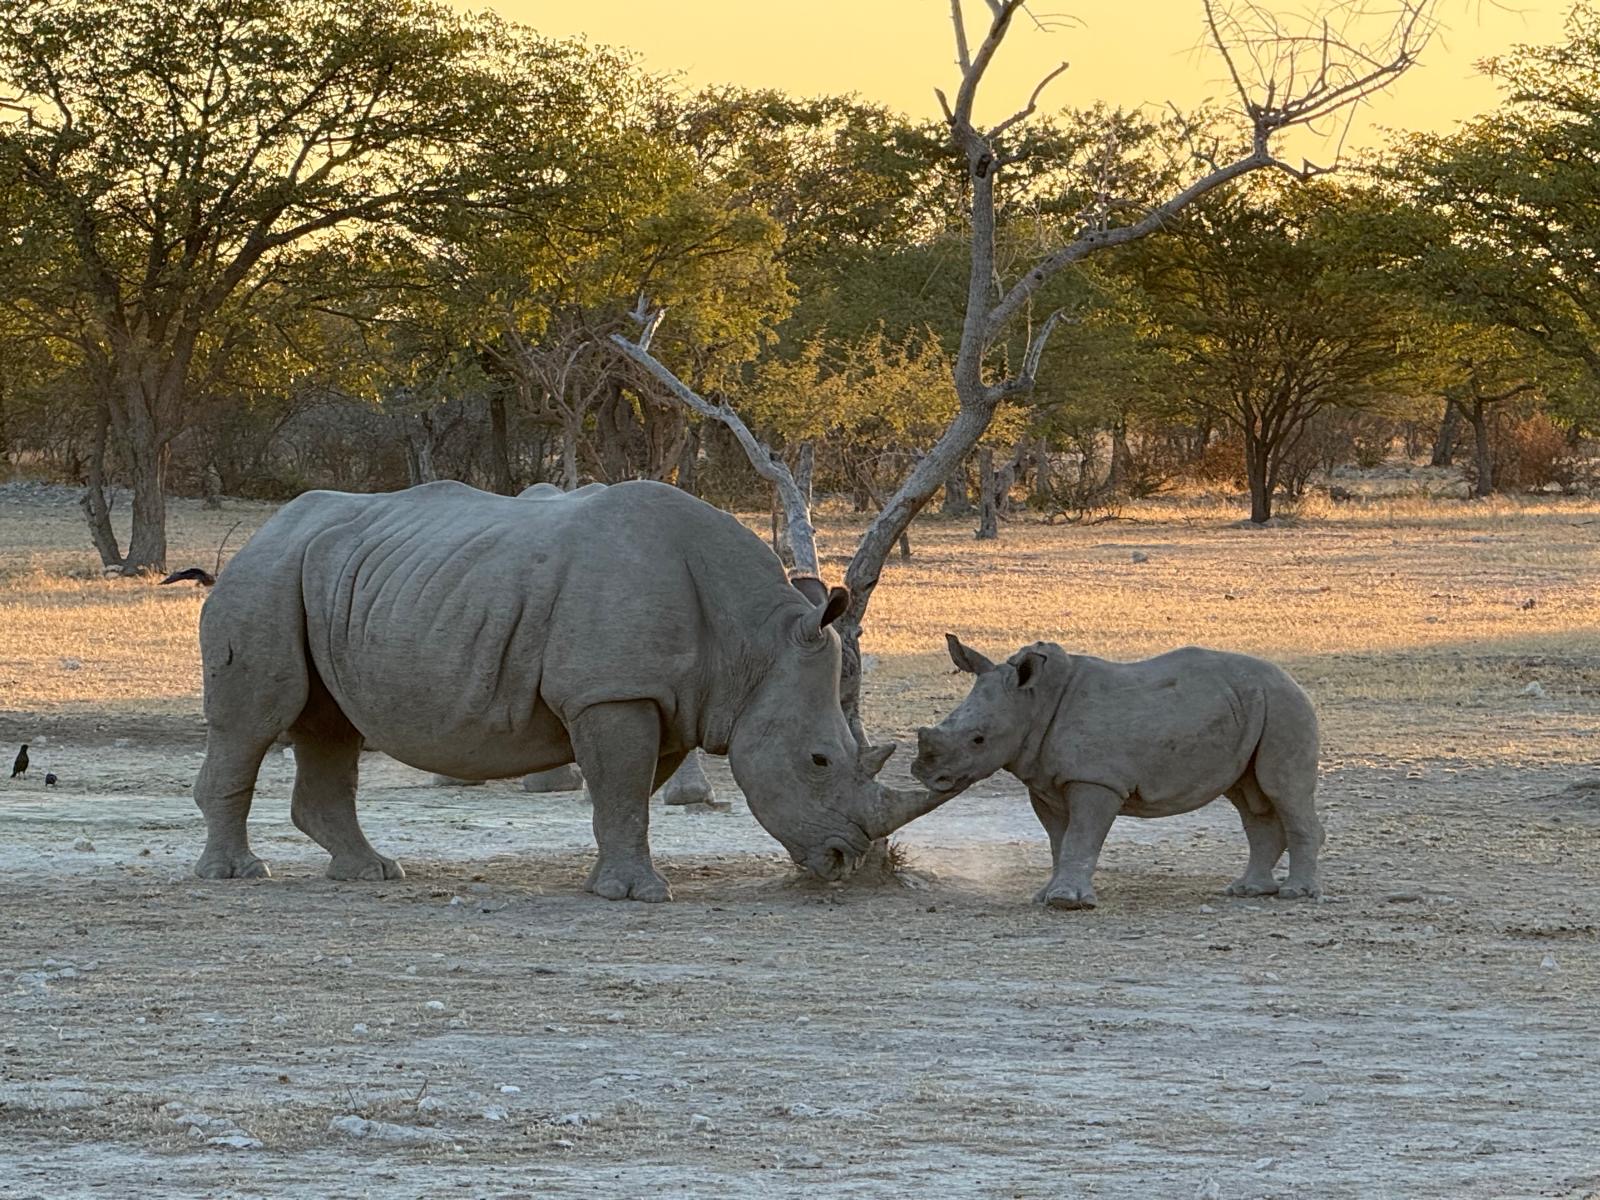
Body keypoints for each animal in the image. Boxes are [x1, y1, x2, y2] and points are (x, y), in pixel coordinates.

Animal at [190, 480, 942, 900]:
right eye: (818, 760)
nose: (843, 860)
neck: (753, 647)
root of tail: (265, 531)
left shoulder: (659, 696)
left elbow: (627, 794)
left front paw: (612, 884)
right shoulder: (612, 690)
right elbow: (623, 790)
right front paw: (639, 897)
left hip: (332, 578)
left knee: (331, 723)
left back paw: (373, 874)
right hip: (264, 576)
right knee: (258, 721)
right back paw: (240, 877)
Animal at [912, 636, 1323, 910]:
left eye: (979, 740)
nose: (926, 775)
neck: (1033, 703)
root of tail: (1289, 678)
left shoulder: (1096, 779)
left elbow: (1081, 838)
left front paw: (1067, 902)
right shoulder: (1045, 781)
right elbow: (1059, 840)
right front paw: (1046, 895)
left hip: (1284, 704)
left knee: (1282, 789)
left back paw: (1295, 894)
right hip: (1254, 705)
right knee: (1248, 796)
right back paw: (1247, 890)